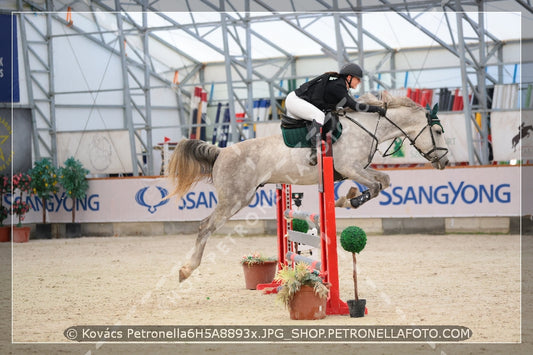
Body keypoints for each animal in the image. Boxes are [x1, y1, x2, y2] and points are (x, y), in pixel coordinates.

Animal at [167, 92, 448, 284]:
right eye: (436, 130)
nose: (444, 162)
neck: (368, 127)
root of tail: (221, 152)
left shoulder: (356, 169)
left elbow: (384, 182)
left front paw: (347, 198)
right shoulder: (349, 167)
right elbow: (377, 185)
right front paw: (350, 200)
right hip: (235, 199)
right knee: (205, 226)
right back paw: (186, 270)